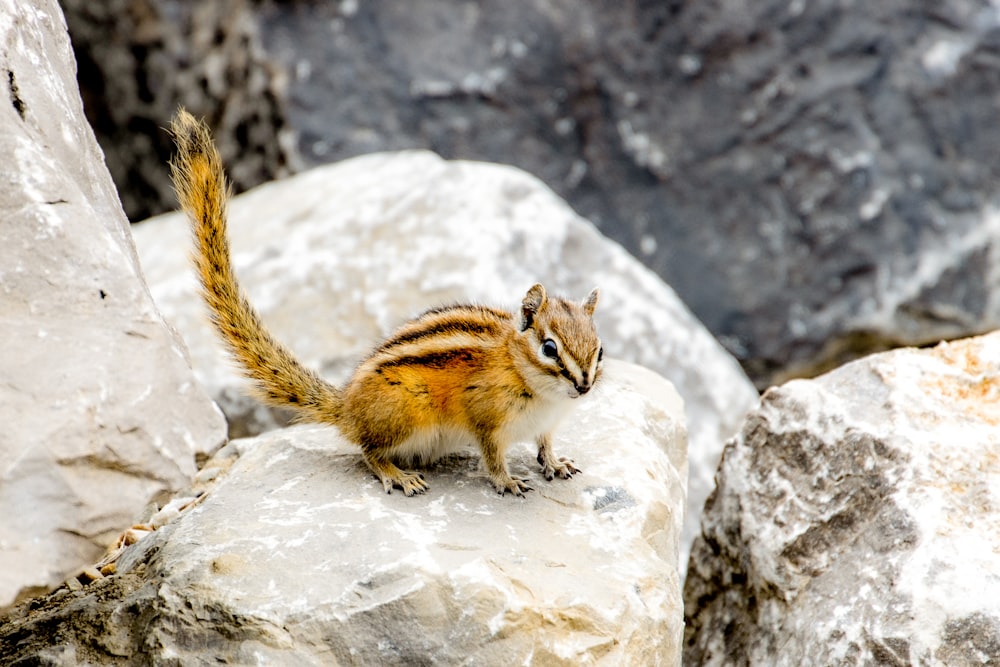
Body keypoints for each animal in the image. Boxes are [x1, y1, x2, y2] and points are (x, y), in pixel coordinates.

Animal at [168, 109, 600, 496]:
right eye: (549, 348)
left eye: (598, 349)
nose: (583, 387)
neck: (532, 381)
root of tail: (347, 408)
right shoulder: (486, 421)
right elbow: (493, 457)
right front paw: (507, 481)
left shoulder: (547, 423)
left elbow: (545, 443)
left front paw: (556, 463)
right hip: (406, 413)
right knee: (368, 451)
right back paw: (399, 476)